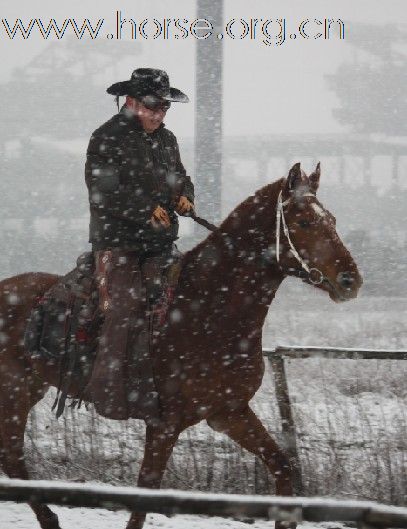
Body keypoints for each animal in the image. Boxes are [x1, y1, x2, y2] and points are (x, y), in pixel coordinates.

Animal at [0, 161, 364, 528]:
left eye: (332, 220)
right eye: (304, 222)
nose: (351, 281)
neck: (206, 311)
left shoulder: (229, 412)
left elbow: (282, 466)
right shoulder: (164, 424)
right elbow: (144, 495)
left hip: (27, 390)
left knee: (12, 458)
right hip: (13, 393)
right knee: (12, 456)